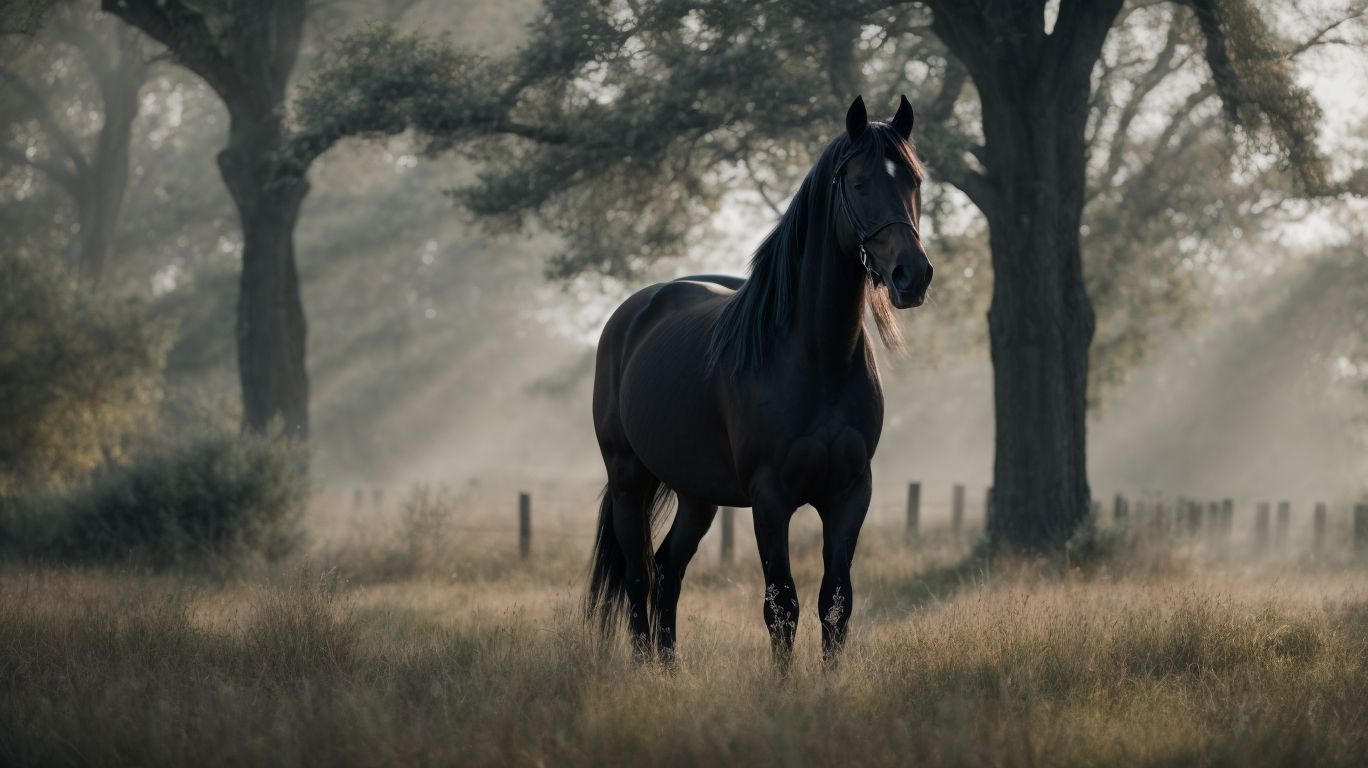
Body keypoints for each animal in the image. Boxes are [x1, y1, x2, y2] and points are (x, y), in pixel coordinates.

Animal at [587, 95, 932, 665]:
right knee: (638, 577)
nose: (913, 275)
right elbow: (782, 606)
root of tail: (633, 313)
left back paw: (668, 668)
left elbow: (836, 604)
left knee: (668, 570)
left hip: (697, 495)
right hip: (628, 479)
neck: (816, 360)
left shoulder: (850, 494)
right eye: (860, 183)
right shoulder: (770, 497)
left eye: (914, 181)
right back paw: (642, 668)